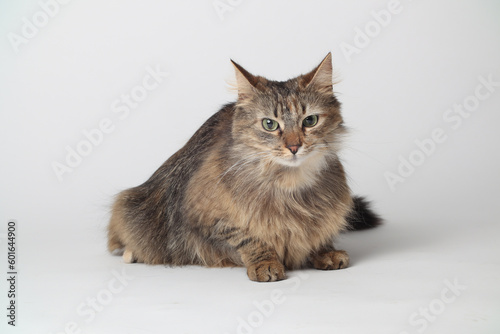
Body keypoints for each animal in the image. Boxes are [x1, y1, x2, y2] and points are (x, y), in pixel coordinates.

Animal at [107, 52, 380, 282]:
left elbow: (319, 232)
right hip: (132, 206)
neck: (290, 185)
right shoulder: (204, 215)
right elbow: (248, 239)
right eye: (270, 124)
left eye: (310, 121)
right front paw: (265, 263)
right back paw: (130, 253)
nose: (294, 147)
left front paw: (324, 251)